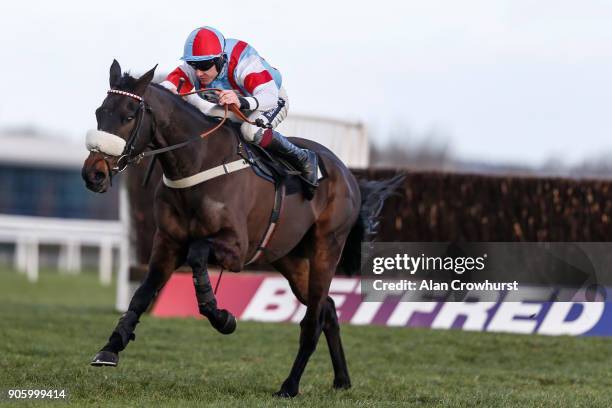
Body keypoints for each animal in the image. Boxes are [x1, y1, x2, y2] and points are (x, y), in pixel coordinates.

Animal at [81, 60, 402, 398]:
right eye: (100, 112)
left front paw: (222, 316)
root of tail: (348, 175)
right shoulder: (167, 243)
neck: (198, 164)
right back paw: (341, 379)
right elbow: (142, 294)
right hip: (289, 258)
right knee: (327, 307)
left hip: (326, 248)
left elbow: (197, 254)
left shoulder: (235, 249)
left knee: (313, 319)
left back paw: (290, 385)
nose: (93, 174)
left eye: (129, 115)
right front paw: (111, 347)